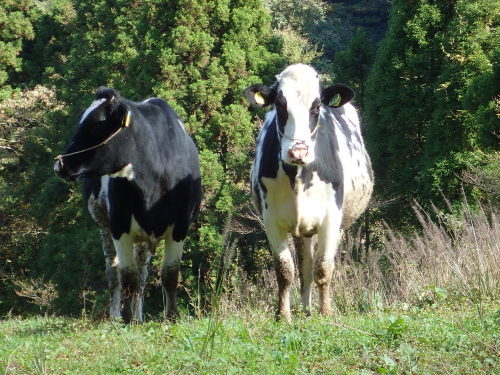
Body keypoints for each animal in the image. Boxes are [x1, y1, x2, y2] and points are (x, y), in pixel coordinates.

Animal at [54, 88, 201, 324]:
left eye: (97, 124)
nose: (60, 164)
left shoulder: (180, 226)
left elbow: (169, 274)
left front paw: (172, 316)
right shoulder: (119, 225)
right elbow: (127, 276)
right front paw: (125, 318)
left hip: (144, 239)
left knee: (142, 274)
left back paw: (139, 316)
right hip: (104, 227)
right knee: (114, 274)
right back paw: (117, 316)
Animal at [244, 63, 374, 322]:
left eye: (316, 107)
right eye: (280, 105)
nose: (298, 152)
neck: (298, 176)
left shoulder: (331, 219)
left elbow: (323, 267)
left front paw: (326, 312)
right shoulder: (271, 220)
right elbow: (285, 271)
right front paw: (282, 315)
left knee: (312, 267)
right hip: (300, 229)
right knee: (304, 267)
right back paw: (305, 309)